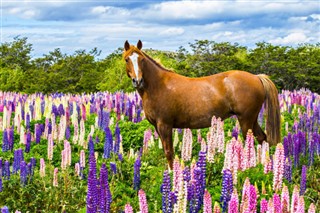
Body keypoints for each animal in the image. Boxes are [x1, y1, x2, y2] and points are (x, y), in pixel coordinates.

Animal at [123, 40, 280, 170]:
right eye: (127, 59)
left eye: (141, 59)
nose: (138, 81)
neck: (158, 86)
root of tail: (256, 77)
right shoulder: (157, 126)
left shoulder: (165, 125)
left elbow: (169, 152)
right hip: (252, 119)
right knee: (261, 138)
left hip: (245, 120)